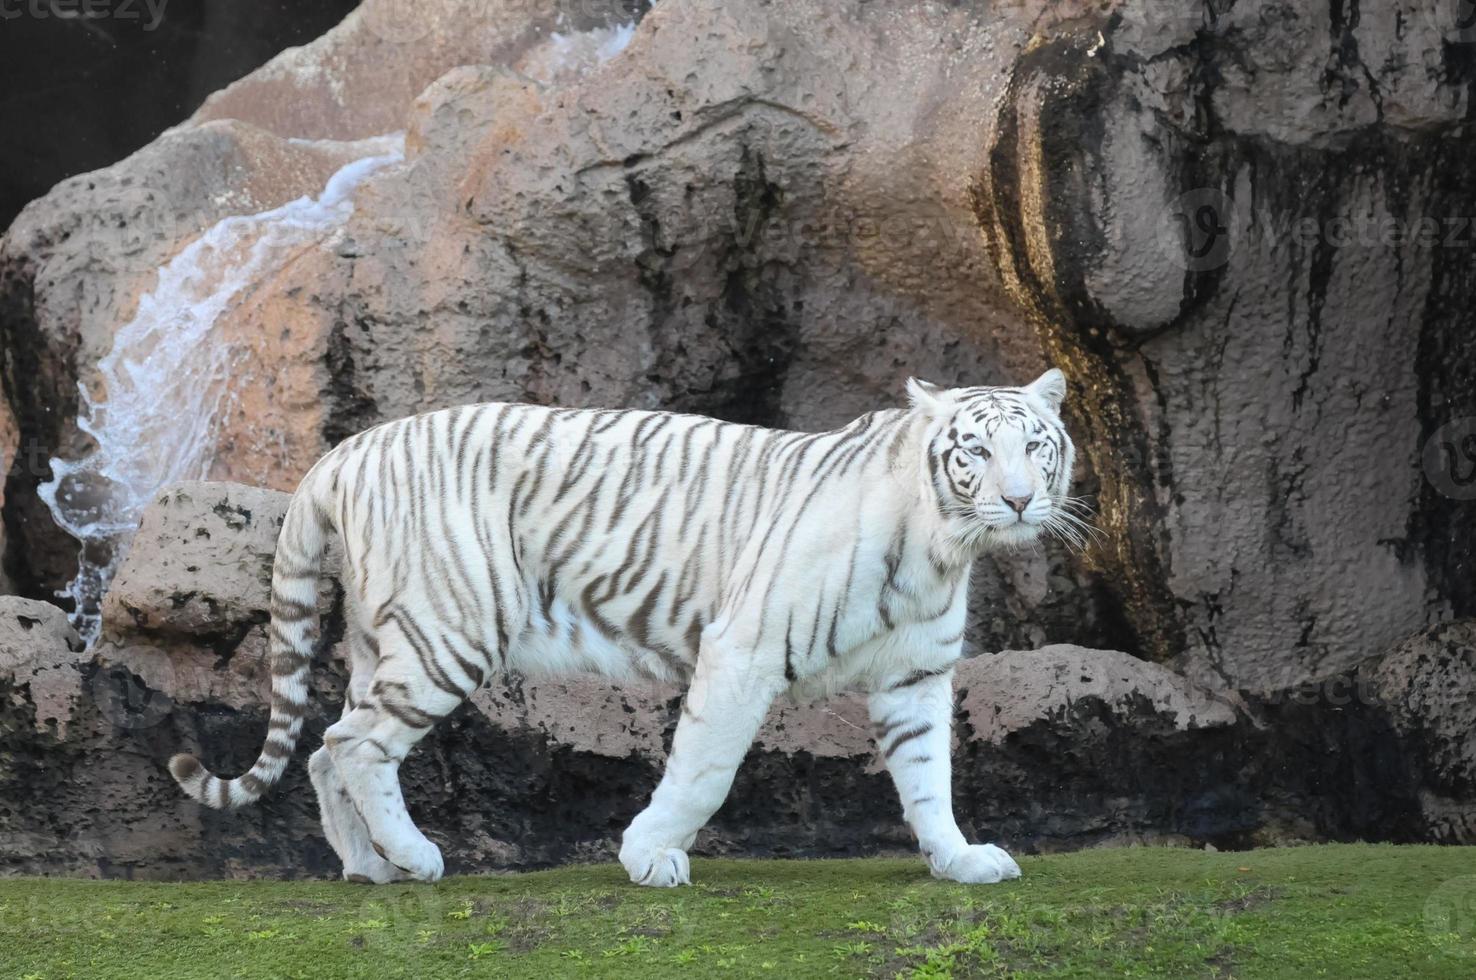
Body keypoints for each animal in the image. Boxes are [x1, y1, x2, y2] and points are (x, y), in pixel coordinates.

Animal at [172, 368, 1080, 885]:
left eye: (1037, 447)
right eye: (975, 451)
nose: (1020, 500)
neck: (942, 548)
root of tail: (339, 455)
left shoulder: (914, 677)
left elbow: (930, 781)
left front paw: (960, 861)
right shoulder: (742, 651)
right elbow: (705, 771)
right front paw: (649, 857)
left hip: (380, 638)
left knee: (326, 746)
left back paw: (368, 868)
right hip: (447, 632)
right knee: (357, 744)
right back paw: (416, 858)